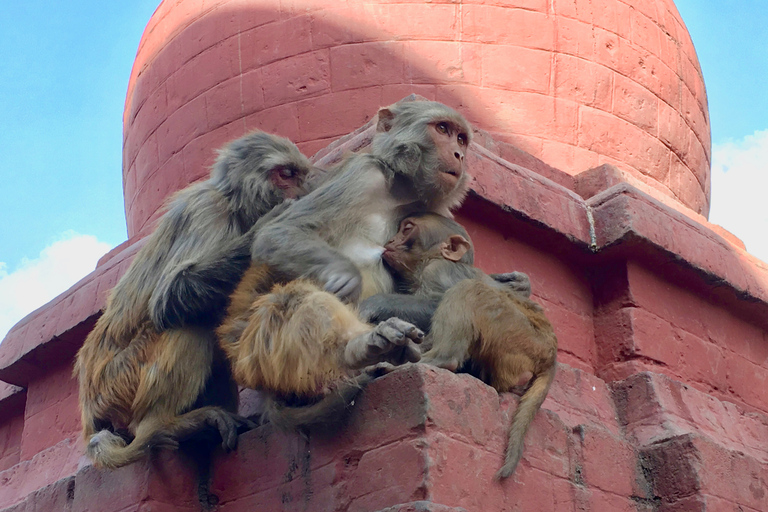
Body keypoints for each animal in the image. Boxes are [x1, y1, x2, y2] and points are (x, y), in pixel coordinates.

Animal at [75, 129, 316, 472]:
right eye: (286, 174)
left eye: (300, 174)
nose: (303, 189)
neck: (235, 207)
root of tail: (89, 410)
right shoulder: (208, 212)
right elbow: (167, 299)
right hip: (118, 384)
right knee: (190, 324)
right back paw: (163, 425)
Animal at [366, 213, 560, 480]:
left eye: (407, 229)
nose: (391, 240)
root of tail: (551, 356)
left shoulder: (438, 270)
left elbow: (436, 301)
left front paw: (373, 304)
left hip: (518, 332)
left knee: (468, 290)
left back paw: (437, 359)